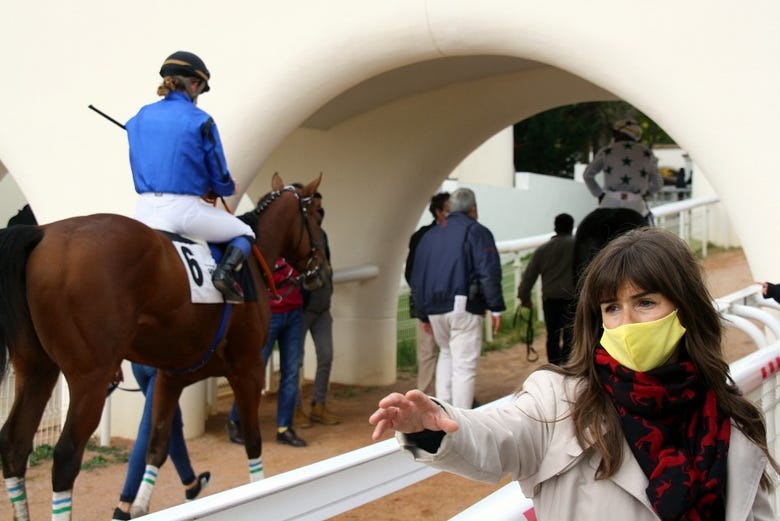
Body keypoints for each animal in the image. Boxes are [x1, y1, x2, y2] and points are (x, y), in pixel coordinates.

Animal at [0, 173, 326, 516]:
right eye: (318, 214)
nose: (322, 270)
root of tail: (42, 233)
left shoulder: (170, 377)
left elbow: (157, 445)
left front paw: (140, 505)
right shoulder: (247, 368)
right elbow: (252, 441)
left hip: (37, 369)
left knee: (14, 443)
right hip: (90, 378)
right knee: (65, 456)